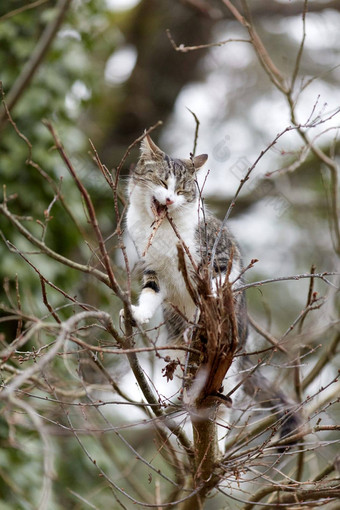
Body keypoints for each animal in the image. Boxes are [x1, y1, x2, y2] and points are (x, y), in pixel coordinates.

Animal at [123, 134, 302, 442]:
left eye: (182, 190)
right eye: (161, 181)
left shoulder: (218, 256)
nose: (169, 199)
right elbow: (150, 292)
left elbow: (215, 285)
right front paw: (139, 313)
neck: (161, 232)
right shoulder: (152, 268)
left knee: (224, 408)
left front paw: (202, 311)